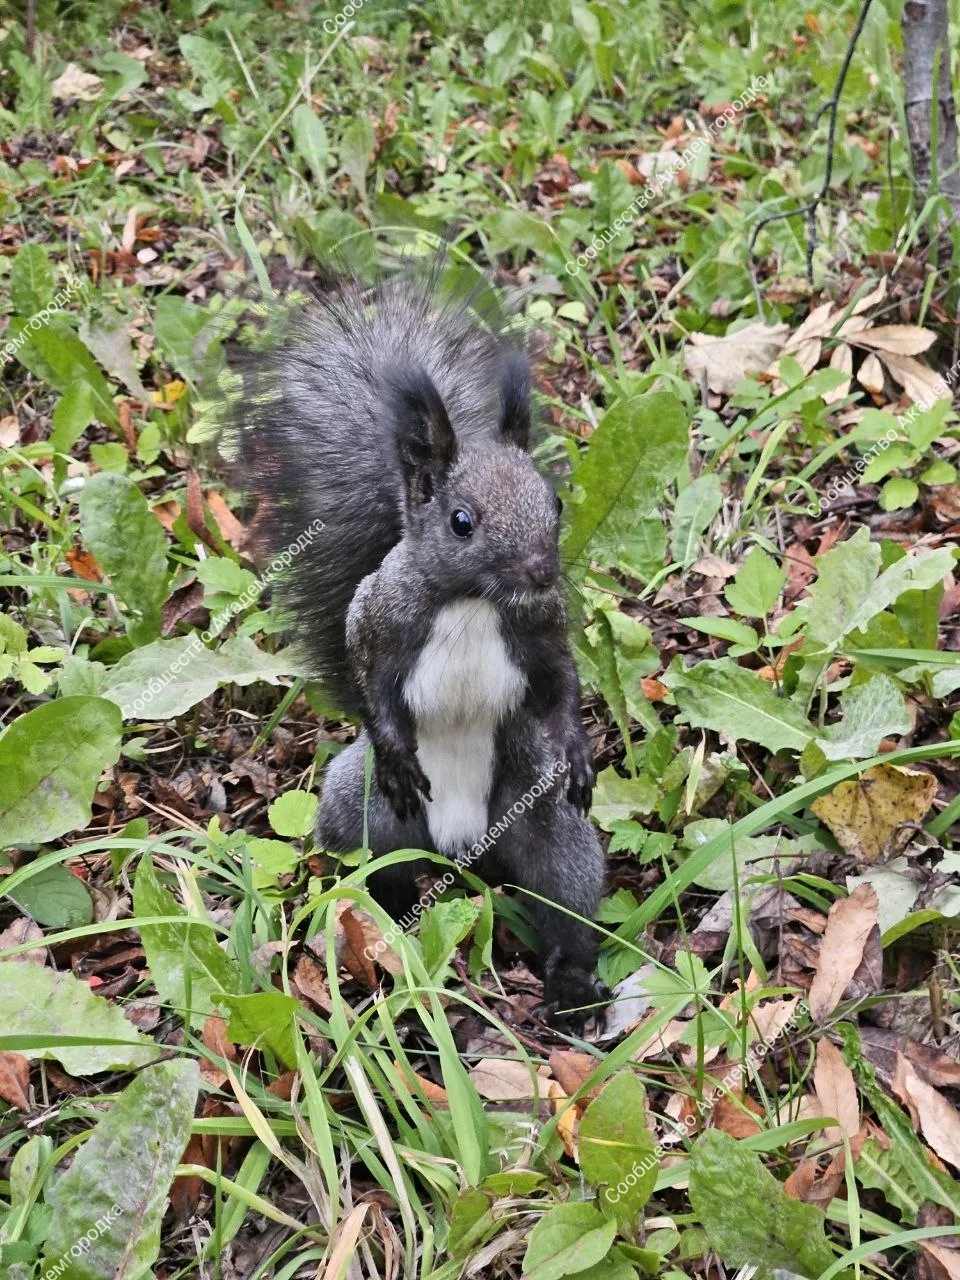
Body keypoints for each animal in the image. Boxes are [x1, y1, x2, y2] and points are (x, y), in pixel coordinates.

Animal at [229, 264, 606, 1022]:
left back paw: (571, 982)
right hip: (361, 807)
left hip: (544, 815)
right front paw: (397, 745)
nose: (542, 572)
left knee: (565, 898)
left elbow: (560, 682)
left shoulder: (539, 627)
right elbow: (367, 677)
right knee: (381, 870)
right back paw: (380, 922)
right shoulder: (377, 618)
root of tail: (465, 848)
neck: (473, 601)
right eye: (462, 520)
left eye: (553, 502)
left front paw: (578, 750)